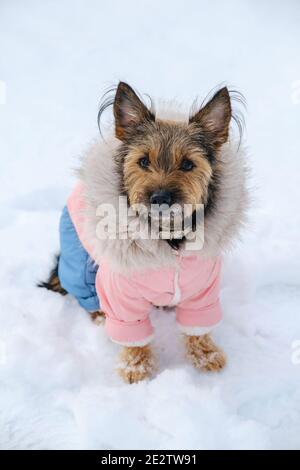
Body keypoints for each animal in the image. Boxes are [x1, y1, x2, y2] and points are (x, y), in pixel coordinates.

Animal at [41, 81, 247, 382]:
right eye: (143, 161)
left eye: (188, 164)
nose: (160, 197)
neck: (168, 239)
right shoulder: (119, 291)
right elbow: (133, 336)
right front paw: (136, 369)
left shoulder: (202, 289)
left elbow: (198, 326)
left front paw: (206, 355)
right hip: (79, 262)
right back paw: (100, 314)